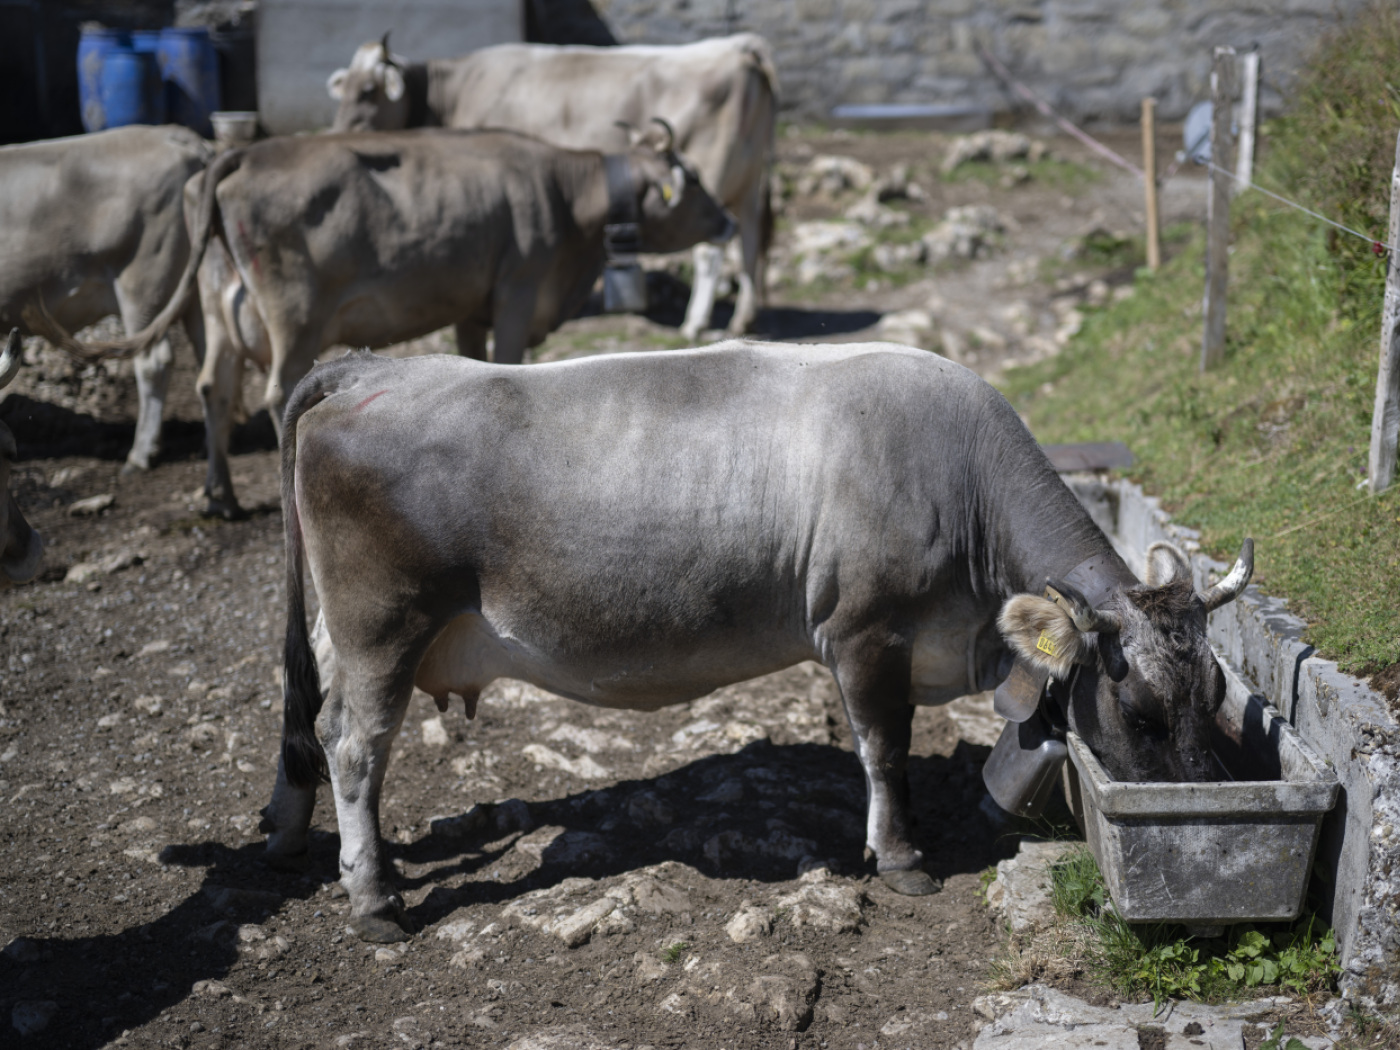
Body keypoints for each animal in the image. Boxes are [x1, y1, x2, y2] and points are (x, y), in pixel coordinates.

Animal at [46, 127, 735, 519]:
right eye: (695, 179)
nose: (729, 219)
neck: (568, 202)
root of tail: (239, 153)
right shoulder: (518, 288)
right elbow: (512, 361)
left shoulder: (472, 305)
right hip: (293, 314)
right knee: (275, 391)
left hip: (218, 310)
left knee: (214, 386)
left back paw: (224, 499)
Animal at [260, 340, 1254, 943]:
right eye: (1138, 707)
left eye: (1213, 694)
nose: (1204, 802)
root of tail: (371, 368)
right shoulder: (864, 632)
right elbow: (884, 749)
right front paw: (902, 859)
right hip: (384, 626)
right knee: (355, 747)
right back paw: (374, 898)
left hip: (349, 635)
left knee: (311, 722)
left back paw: (294, 833)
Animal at [327, 33, 777, 341]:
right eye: (342, 88)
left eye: (368, 90)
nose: (333, 134)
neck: (453, 90)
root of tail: (739, 48)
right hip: (750, 183)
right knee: (749, 238)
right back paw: (744, 318)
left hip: (714, 173)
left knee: (710, 250)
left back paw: (694, 323)